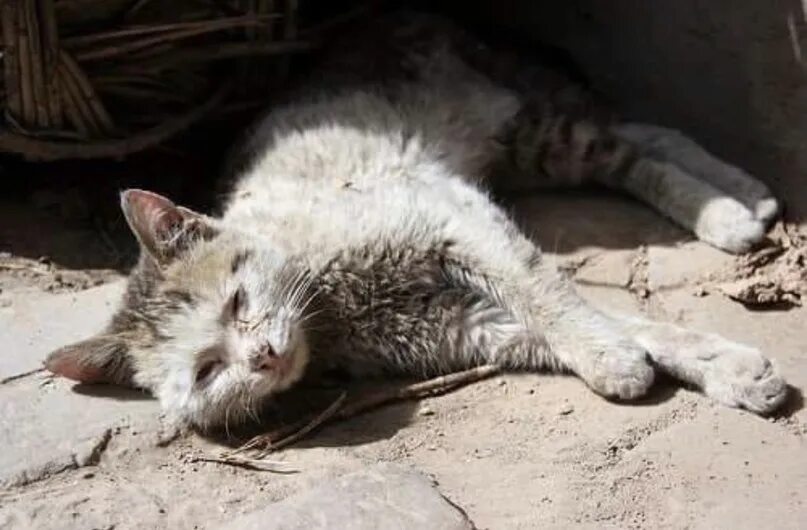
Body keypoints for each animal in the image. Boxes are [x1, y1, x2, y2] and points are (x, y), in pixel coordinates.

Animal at [44, 10, 788, 426]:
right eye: (205, 372)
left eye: (236, 302)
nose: (262, 357)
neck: (330, 303)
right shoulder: (468, 329)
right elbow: (625, 324)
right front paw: (716, 365)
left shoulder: (459, 223)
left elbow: (550, 294)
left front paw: (615, 358)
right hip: (524, 153)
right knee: (639, 134)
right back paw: (743, 198)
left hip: (529, 128)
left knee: (635, 144)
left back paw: (730, 207)